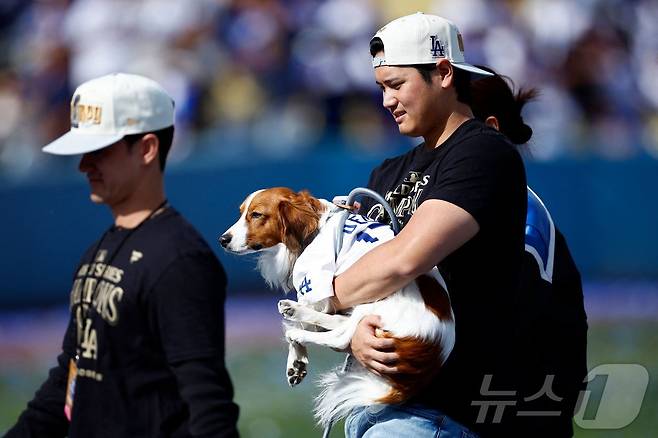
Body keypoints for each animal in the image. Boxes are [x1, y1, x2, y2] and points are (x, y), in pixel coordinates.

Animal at [218, 187, 454, 428]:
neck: (316, 226)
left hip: (378, 299)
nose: (223, 240)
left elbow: (312, 315)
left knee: (340, 336)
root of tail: (433, 353)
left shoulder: (315, 282)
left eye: (256, 215)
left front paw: (297, 344)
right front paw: (296, 362)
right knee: (340, 324)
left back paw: (296, 323)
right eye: (241, 212)